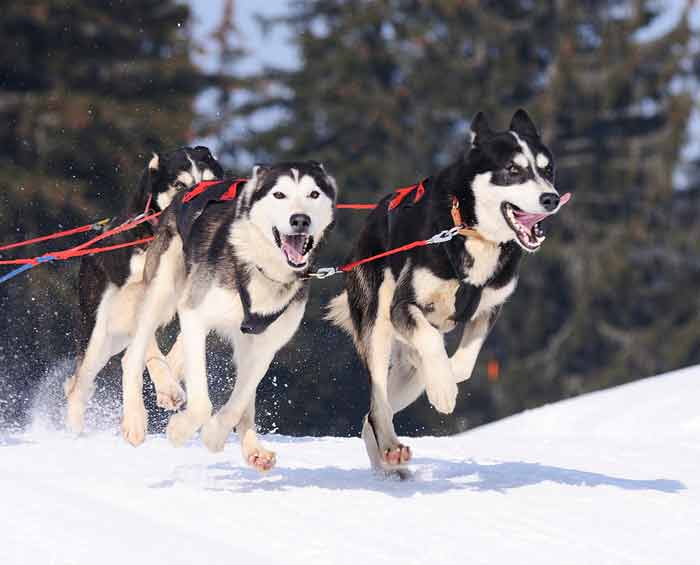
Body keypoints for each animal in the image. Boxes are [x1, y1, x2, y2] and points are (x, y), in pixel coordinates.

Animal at [63, 145, 221, 432]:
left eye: (210, 182)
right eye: (179, 185)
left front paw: (171, 375)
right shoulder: (139, 296)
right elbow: (148, 347)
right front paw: (166, 387)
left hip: (111, 340)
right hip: (97, 332)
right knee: (79, 384)